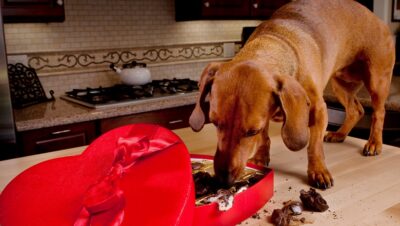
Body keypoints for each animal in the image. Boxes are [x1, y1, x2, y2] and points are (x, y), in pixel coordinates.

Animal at [190, 0, 394, 190]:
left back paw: (374, 143)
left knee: (379, 113)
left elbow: (314, 145)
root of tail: (378, 20)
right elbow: (265, 138)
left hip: (377, 81)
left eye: (252, 132)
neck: (274, 43)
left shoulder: (319, 110)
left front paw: (318, 171)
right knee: (355, 110)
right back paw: (340, 134)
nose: (224, 181)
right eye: (215, 123)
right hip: (340, 84)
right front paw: (260, 157)